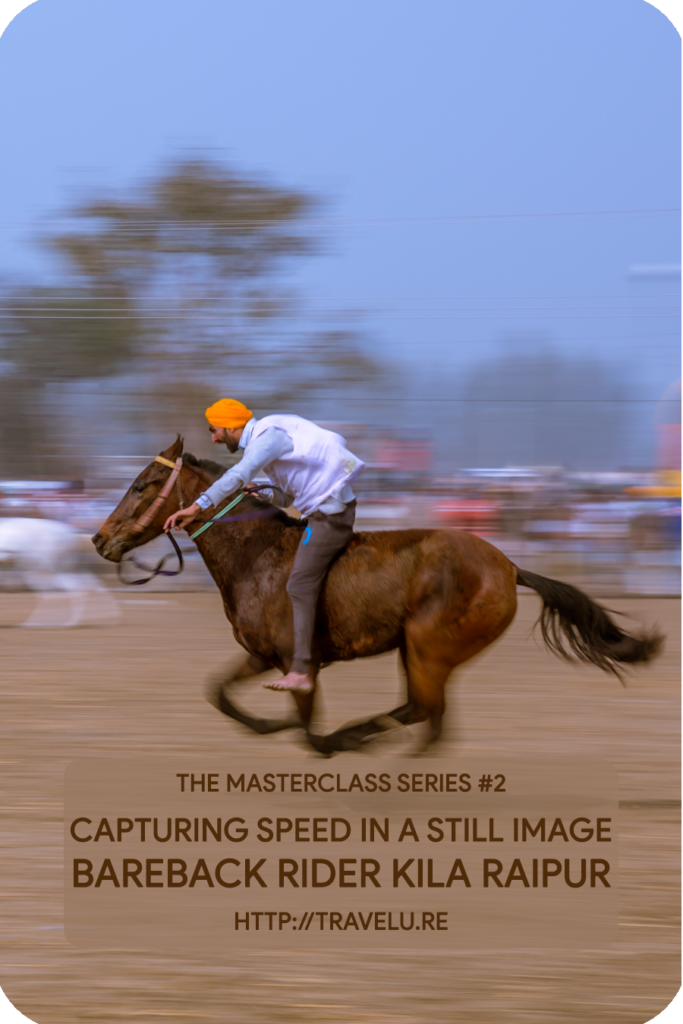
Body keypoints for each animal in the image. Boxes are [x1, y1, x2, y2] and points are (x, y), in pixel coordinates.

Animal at [90, 436, 663, 757]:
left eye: (141, 484)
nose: (99, 539)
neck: (256, 556)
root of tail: (509, 566)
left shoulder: (298, 661)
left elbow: (308, 733)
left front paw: (318, 737)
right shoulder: (262, 655)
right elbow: (221, 694)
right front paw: (271, 725)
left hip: (430, 645)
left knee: (426, 716)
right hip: (417, 649)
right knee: (422, 712)